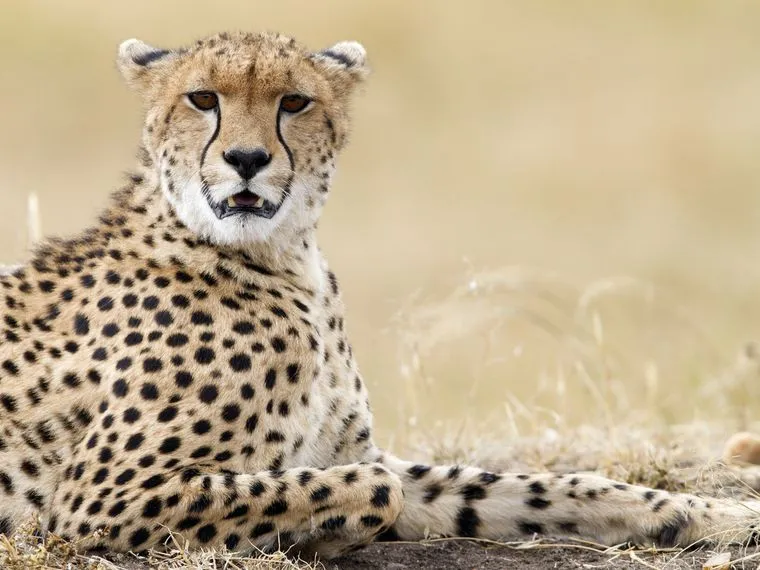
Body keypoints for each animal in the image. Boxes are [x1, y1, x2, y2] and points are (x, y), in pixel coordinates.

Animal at [0, 30, 758, 561]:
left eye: (294, 102)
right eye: (202, 99)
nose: (246, 159)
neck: (283, 257)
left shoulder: (357, 452)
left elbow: (539, 487)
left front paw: (718, 515)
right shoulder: (96, 499)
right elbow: (368, 492)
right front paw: (317, 534)